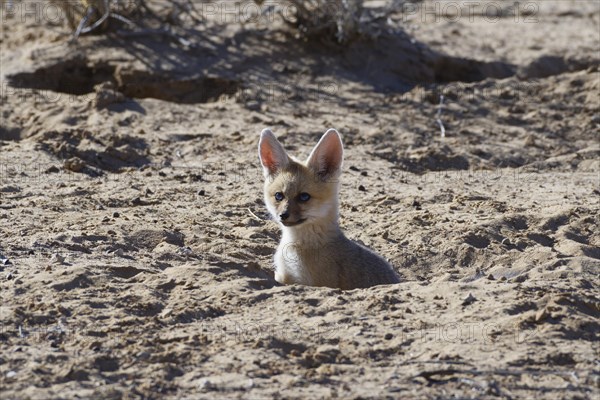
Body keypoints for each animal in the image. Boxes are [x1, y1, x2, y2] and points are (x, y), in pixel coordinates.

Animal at [256, 130, 400, 290]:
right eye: (279, 196)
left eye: (304, 196)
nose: (283, 215)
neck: (292, 246)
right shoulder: (284, 276)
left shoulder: (314, 283)